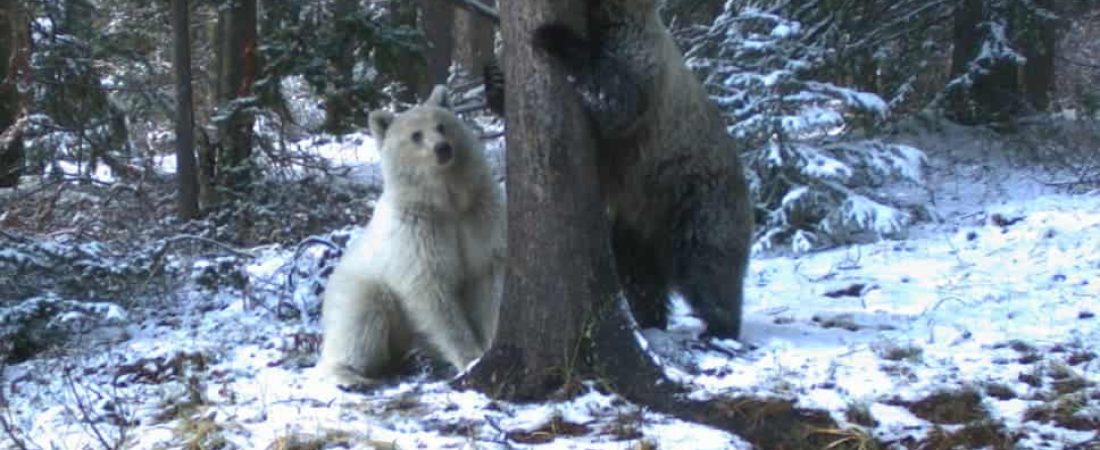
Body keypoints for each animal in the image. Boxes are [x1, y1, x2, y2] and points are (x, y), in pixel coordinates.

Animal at [319, 87, 506, 385]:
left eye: (442, 125)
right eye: (416, 135)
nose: (442, 148)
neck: (445, 204)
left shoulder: (480, 216)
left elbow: (488, 278)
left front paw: (489, 344)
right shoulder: (417, 233)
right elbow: (432, 293)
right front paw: (470, 359)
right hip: (360, 285)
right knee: (359, 321)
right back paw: (349, 375)